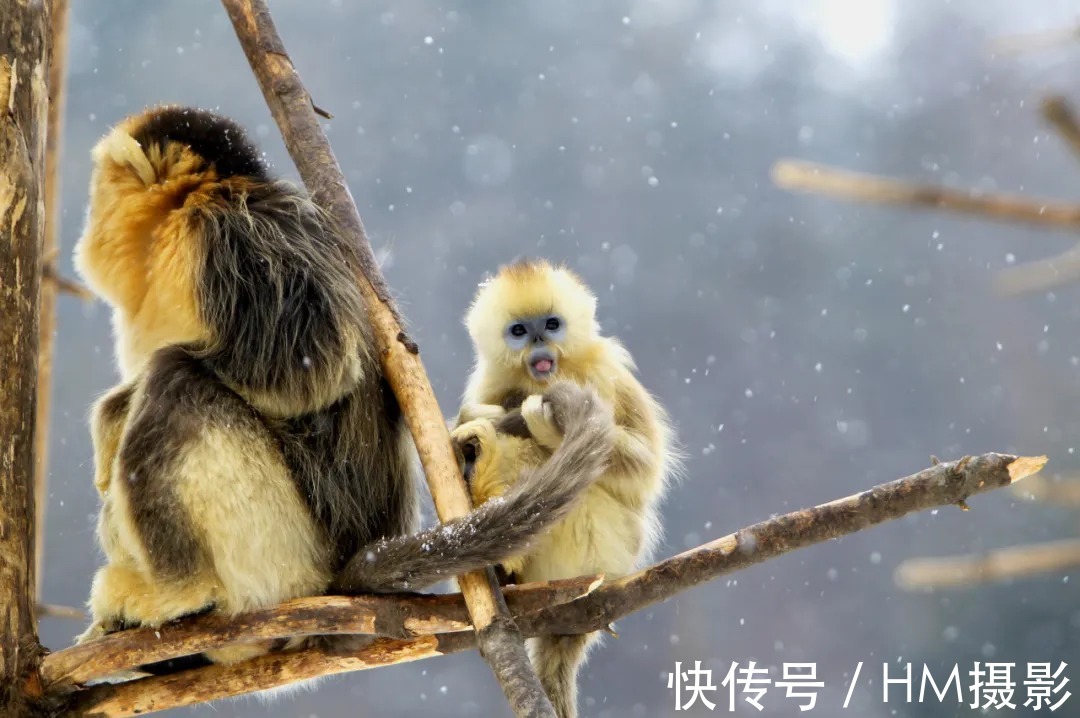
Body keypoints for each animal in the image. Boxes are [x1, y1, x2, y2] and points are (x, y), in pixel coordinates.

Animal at [457, 260, 678, 716]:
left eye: (552, 325)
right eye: (520, 331)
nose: (540, 346)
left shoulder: (605, 372)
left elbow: (644, 467)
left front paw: (544, 425)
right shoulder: (489, 384)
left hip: (609, 549)